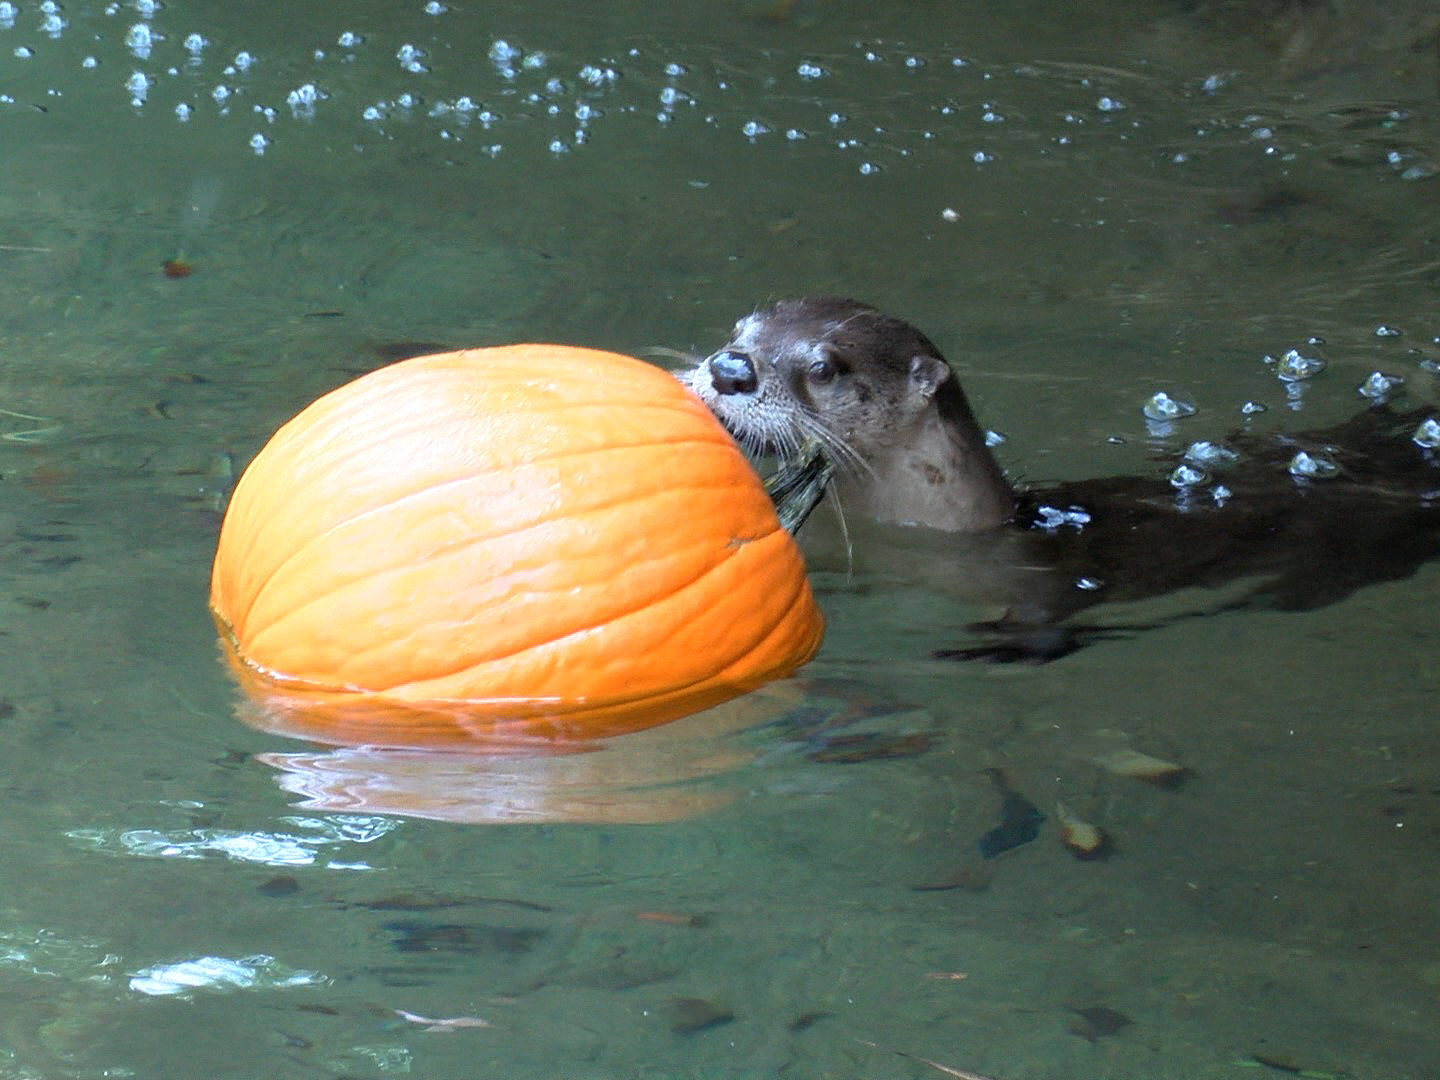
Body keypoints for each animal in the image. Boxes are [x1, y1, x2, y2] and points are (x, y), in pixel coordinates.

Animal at [682, 296, 1440, 659]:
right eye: (740, 330)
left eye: (824, 367)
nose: (729, 368)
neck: (929, 535)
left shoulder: (1039, 583)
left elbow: (1046, 628)